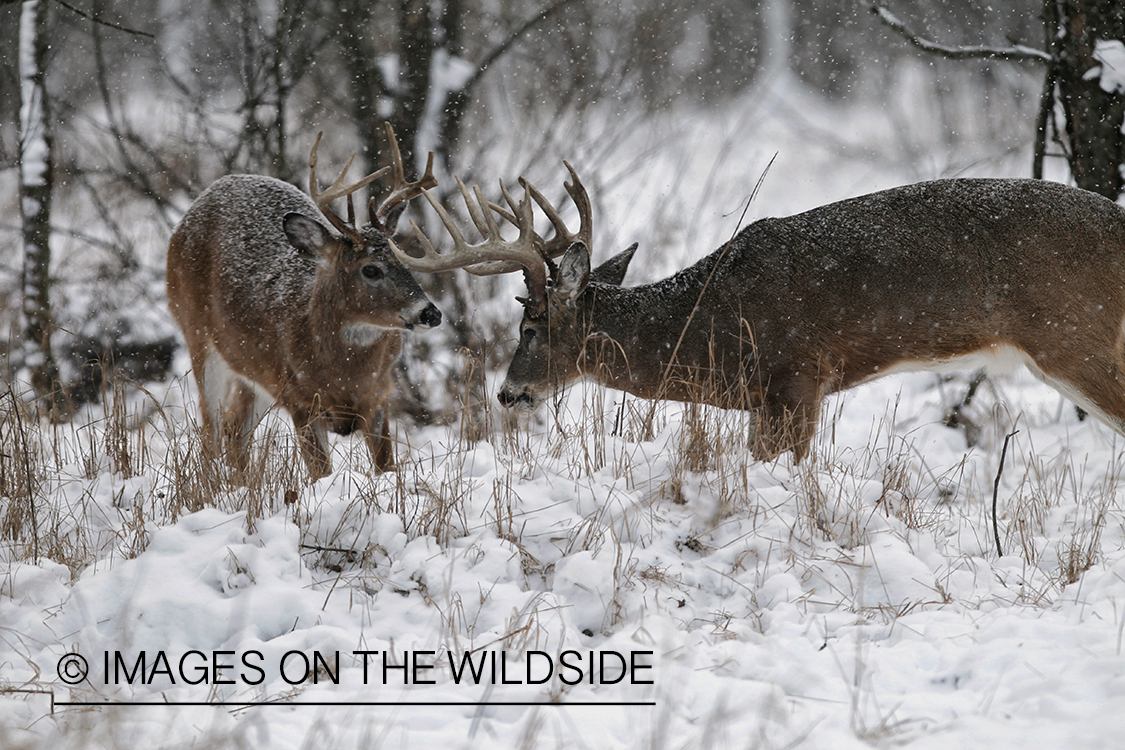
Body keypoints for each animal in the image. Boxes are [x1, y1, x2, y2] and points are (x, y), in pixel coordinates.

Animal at [166, 122, 443, 474]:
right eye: (370, 270)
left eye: (406, 261)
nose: (430, 313)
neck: (343, 375)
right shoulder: (299, 399)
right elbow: (319, 473)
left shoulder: (381, 395)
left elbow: (386, 467)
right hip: (197, 334)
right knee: (211, 428)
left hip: (251, 369)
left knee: (235, 428)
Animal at [391, 168, 1125, 463]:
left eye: (531, 329)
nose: (507, 392)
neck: (709, 323)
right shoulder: (768, 397)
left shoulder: (795, 375)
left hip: (1078, 336)